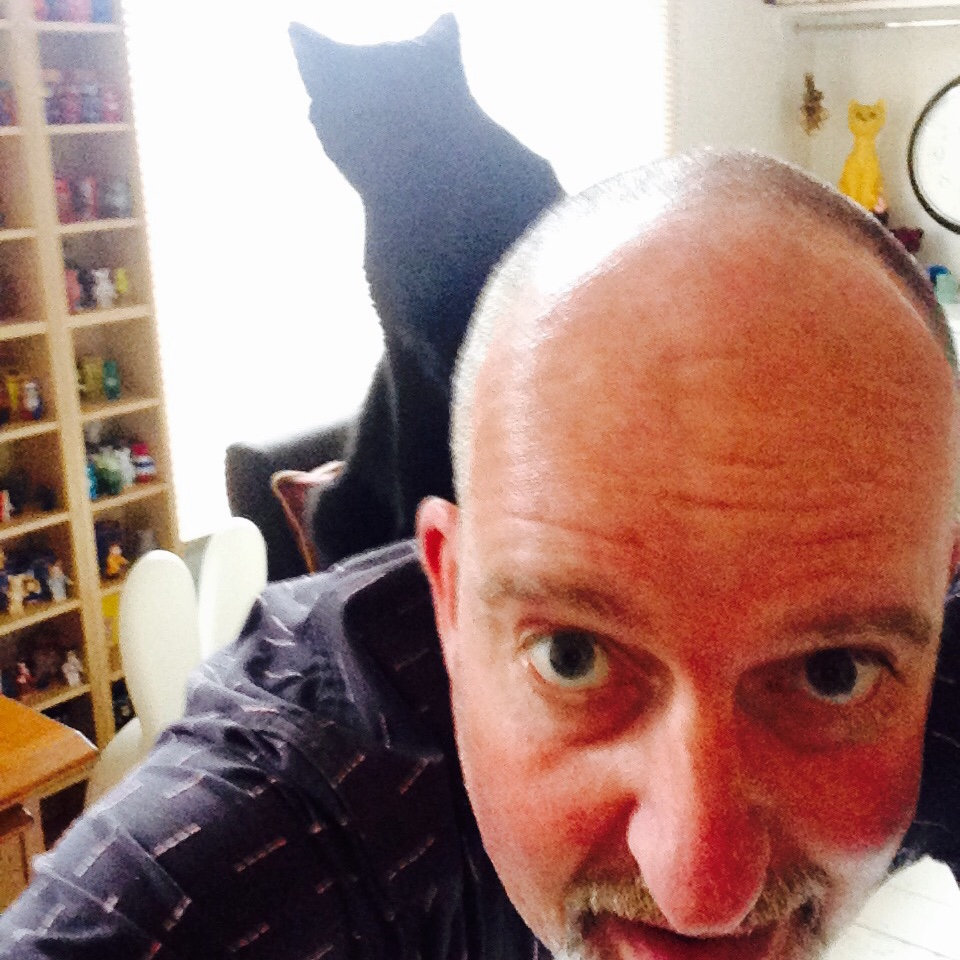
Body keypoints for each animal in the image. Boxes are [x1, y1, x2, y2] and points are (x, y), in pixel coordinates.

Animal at [289, 14, 564, 565]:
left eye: (421, 98)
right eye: (361, 108)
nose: (395, 137)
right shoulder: (404, 356)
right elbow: (415, 452)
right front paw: (413, 530)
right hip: (329, 505)